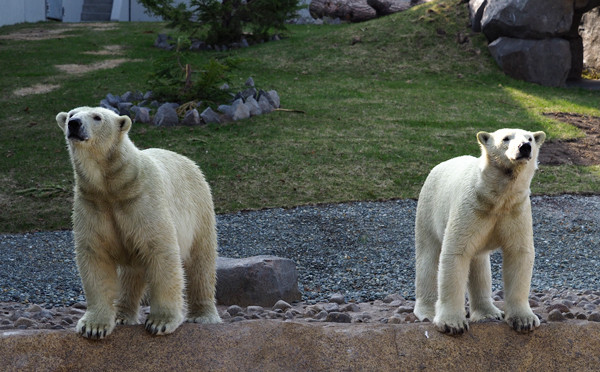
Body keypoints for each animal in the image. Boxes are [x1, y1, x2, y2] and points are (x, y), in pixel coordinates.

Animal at [55, 106, 220, 338]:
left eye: (97, 117)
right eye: (71, 114)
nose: (74, 124)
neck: (113, 185)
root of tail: (190, 162)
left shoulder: (144, 200)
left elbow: (161, 251)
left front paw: (160, 322)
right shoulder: (92, 204)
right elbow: (95, 255)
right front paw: (93, 327)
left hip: (199, 210)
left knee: (201, 261)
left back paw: (203, 315)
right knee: (130, 275)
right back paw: (122, 315)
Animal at [414, 128, 548, 334]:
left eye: (530, 138)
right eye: (506, 138)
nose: (524, 147)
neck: (496, 198)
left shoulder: (516, 211)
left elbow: (519, 254)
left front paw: (525, 320)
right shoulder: (470, 207)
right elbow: (456, 254)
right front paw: (452, 323)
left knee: (479, 264)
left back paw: (489, 312)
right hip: (428, 210)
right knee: (428, 258)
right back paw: (427, 311)